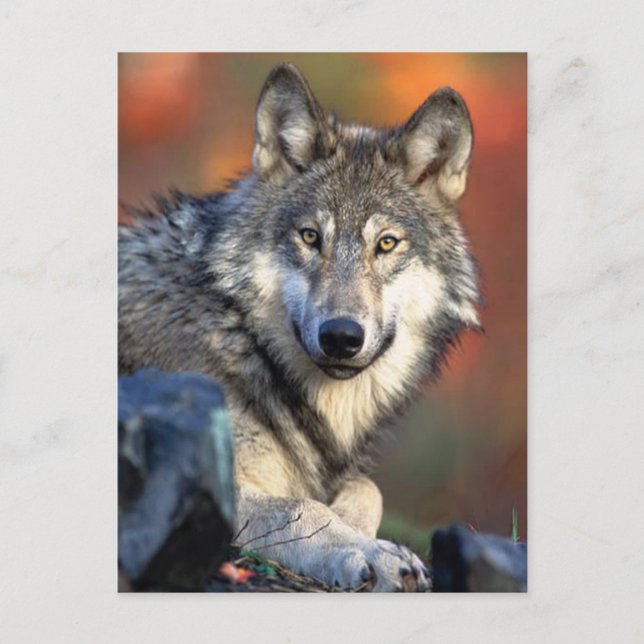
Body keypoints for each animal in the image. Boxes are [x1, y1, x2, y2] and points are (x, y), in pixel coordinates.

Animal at [119, 63, 480, 592]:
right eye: (311, 237)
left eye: (386, 244)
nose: (341, 336)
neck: (241, 337)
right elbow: (302, 508)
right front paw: (372, 553)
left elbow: (367, 488)